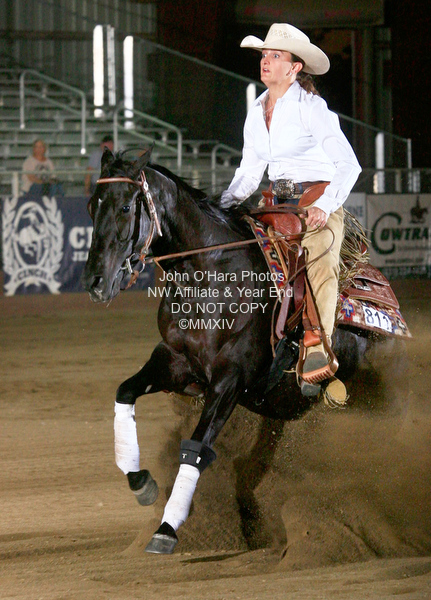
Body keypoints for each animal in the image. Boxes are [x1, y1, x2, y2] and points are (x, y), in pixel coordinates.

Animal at [82, 147, 408, 555]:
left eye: (126, 206)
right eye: (92, 205)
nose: (95, 282)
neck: (211, 276)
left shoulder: (230, 379)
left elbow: (195, 447)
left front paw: (166, 529)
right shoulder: (174, 361)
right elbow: (125, 392)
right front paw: (142, 483)